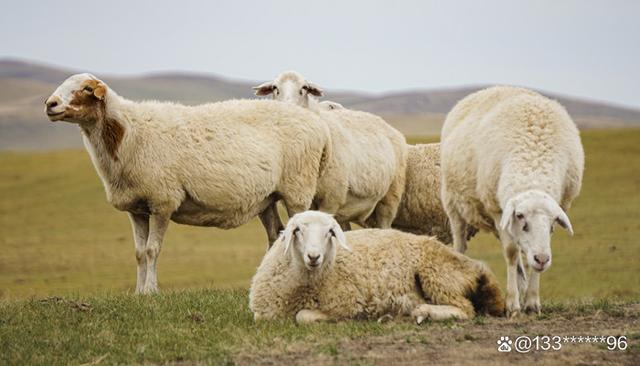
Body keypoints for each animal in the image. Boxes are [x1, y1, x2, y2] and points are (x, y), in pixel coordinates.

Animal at [43, 73, 336, 294]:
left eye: (86, 88)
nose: (50, 104)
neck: (127, 133)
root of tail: (318, 125)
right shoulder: (137, 208)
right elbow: (138, 252)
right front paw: (138, 293)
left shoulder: (162, 200)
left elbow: (152, 250)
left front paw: (151, 292)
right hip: (267, 198)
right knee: (276, 234)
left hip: (297, 189)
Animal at [250, 210, 504, 324]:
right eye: (297, 230)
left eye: (330, 232)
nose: (314, 256)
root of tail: (475, 267)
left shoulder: (347, 304)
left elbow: (304, 315)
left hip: (437, 274)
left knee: (465, 309)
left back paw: (423, 312)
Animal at [442, 86, 584, 318]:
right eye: (520, 215)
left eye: (553, 221)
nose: (543, 259)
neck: (533, 164)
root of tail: (491, 87)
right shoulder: (498, 210)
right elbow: (510, 253)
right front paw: (513, 305)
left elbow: (527, 256)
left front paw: (532, 302)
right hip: (454, 205)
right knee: (460, 243)